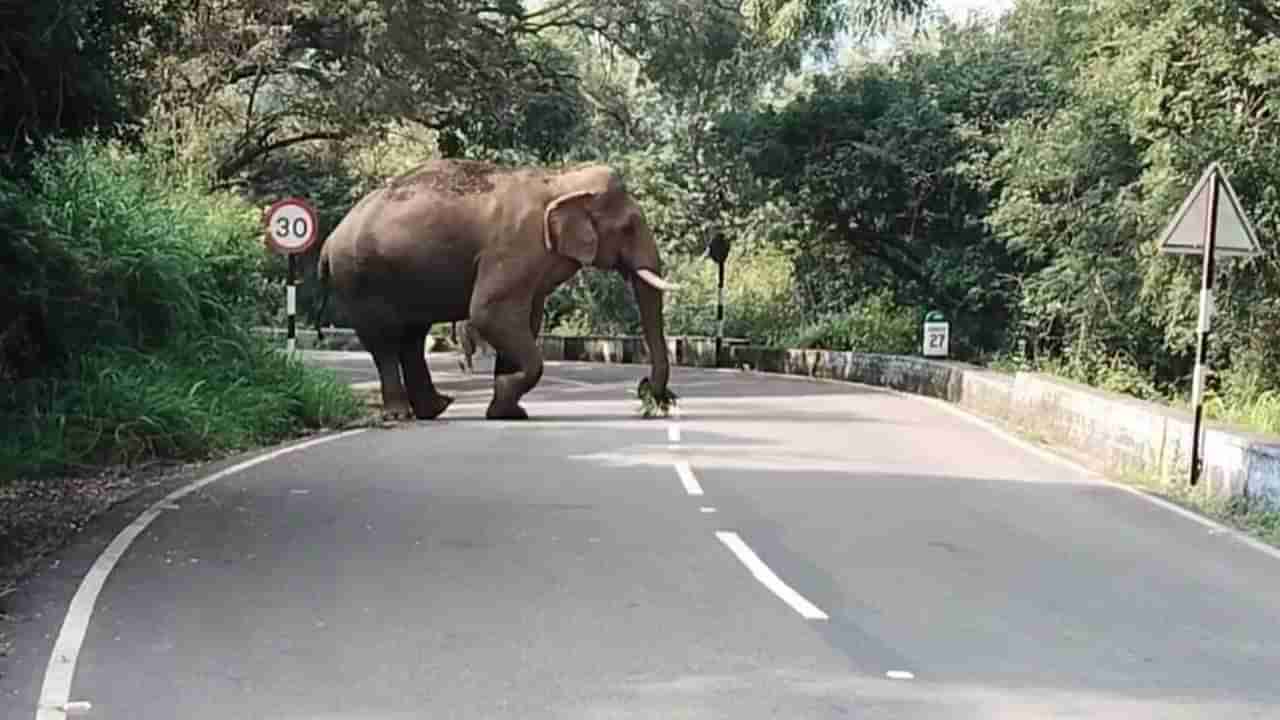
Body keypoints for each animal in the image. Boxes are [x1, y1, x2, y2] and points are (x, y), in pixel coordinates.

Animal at [317, 159, 678, 421]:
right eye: (629, 227)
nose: (648, 392)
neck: (560, 180)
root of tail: (329, 241)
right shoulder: (514, 245)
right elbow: (491, 314)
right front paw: (506, 394)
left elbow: (524, 322)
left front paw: (508, 411)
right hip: (360, 279)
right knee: (385, 342)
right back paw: (401, 415)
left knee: (412, 338)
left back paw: (437, 408)